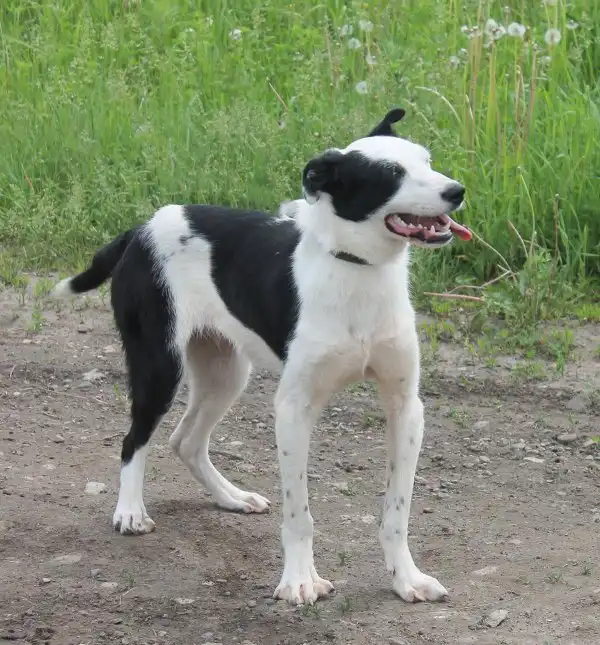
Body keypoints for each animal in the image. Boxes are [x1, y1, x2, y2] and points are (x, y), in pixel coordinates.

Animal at [52, 108, 471, 606]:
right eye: (390, 174)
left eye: (427, 161)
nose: (457, 191)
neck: (356, 270)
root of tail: (140, 230)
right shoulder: (293, 410)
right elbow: (299, 514)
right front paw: (300, 579)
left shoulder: (405, 408)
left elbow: (397, 511)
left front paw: (406, 578)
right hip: (160, 368)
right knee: (134, 439)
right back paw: (130, 511)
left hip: (226, 373)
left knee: (186, 441)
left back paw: (230, 496)